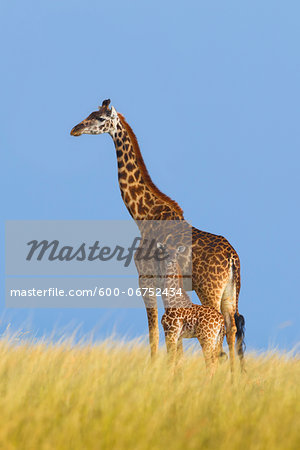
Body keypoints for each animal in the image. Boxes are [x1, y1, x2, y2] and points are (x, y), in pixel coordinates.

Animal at [159, 244, 225, 374]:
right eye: (165, 252)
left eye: (177, 253)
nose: (171, 261)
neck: (170, 301)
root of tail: (221, 321)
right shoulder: (178, 336)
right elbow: (178, 362)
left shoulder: (171, 332)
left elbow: (170, 361)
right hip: (216, 339)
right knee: (214, 362)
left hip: (207, 338)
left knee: (210, 364)